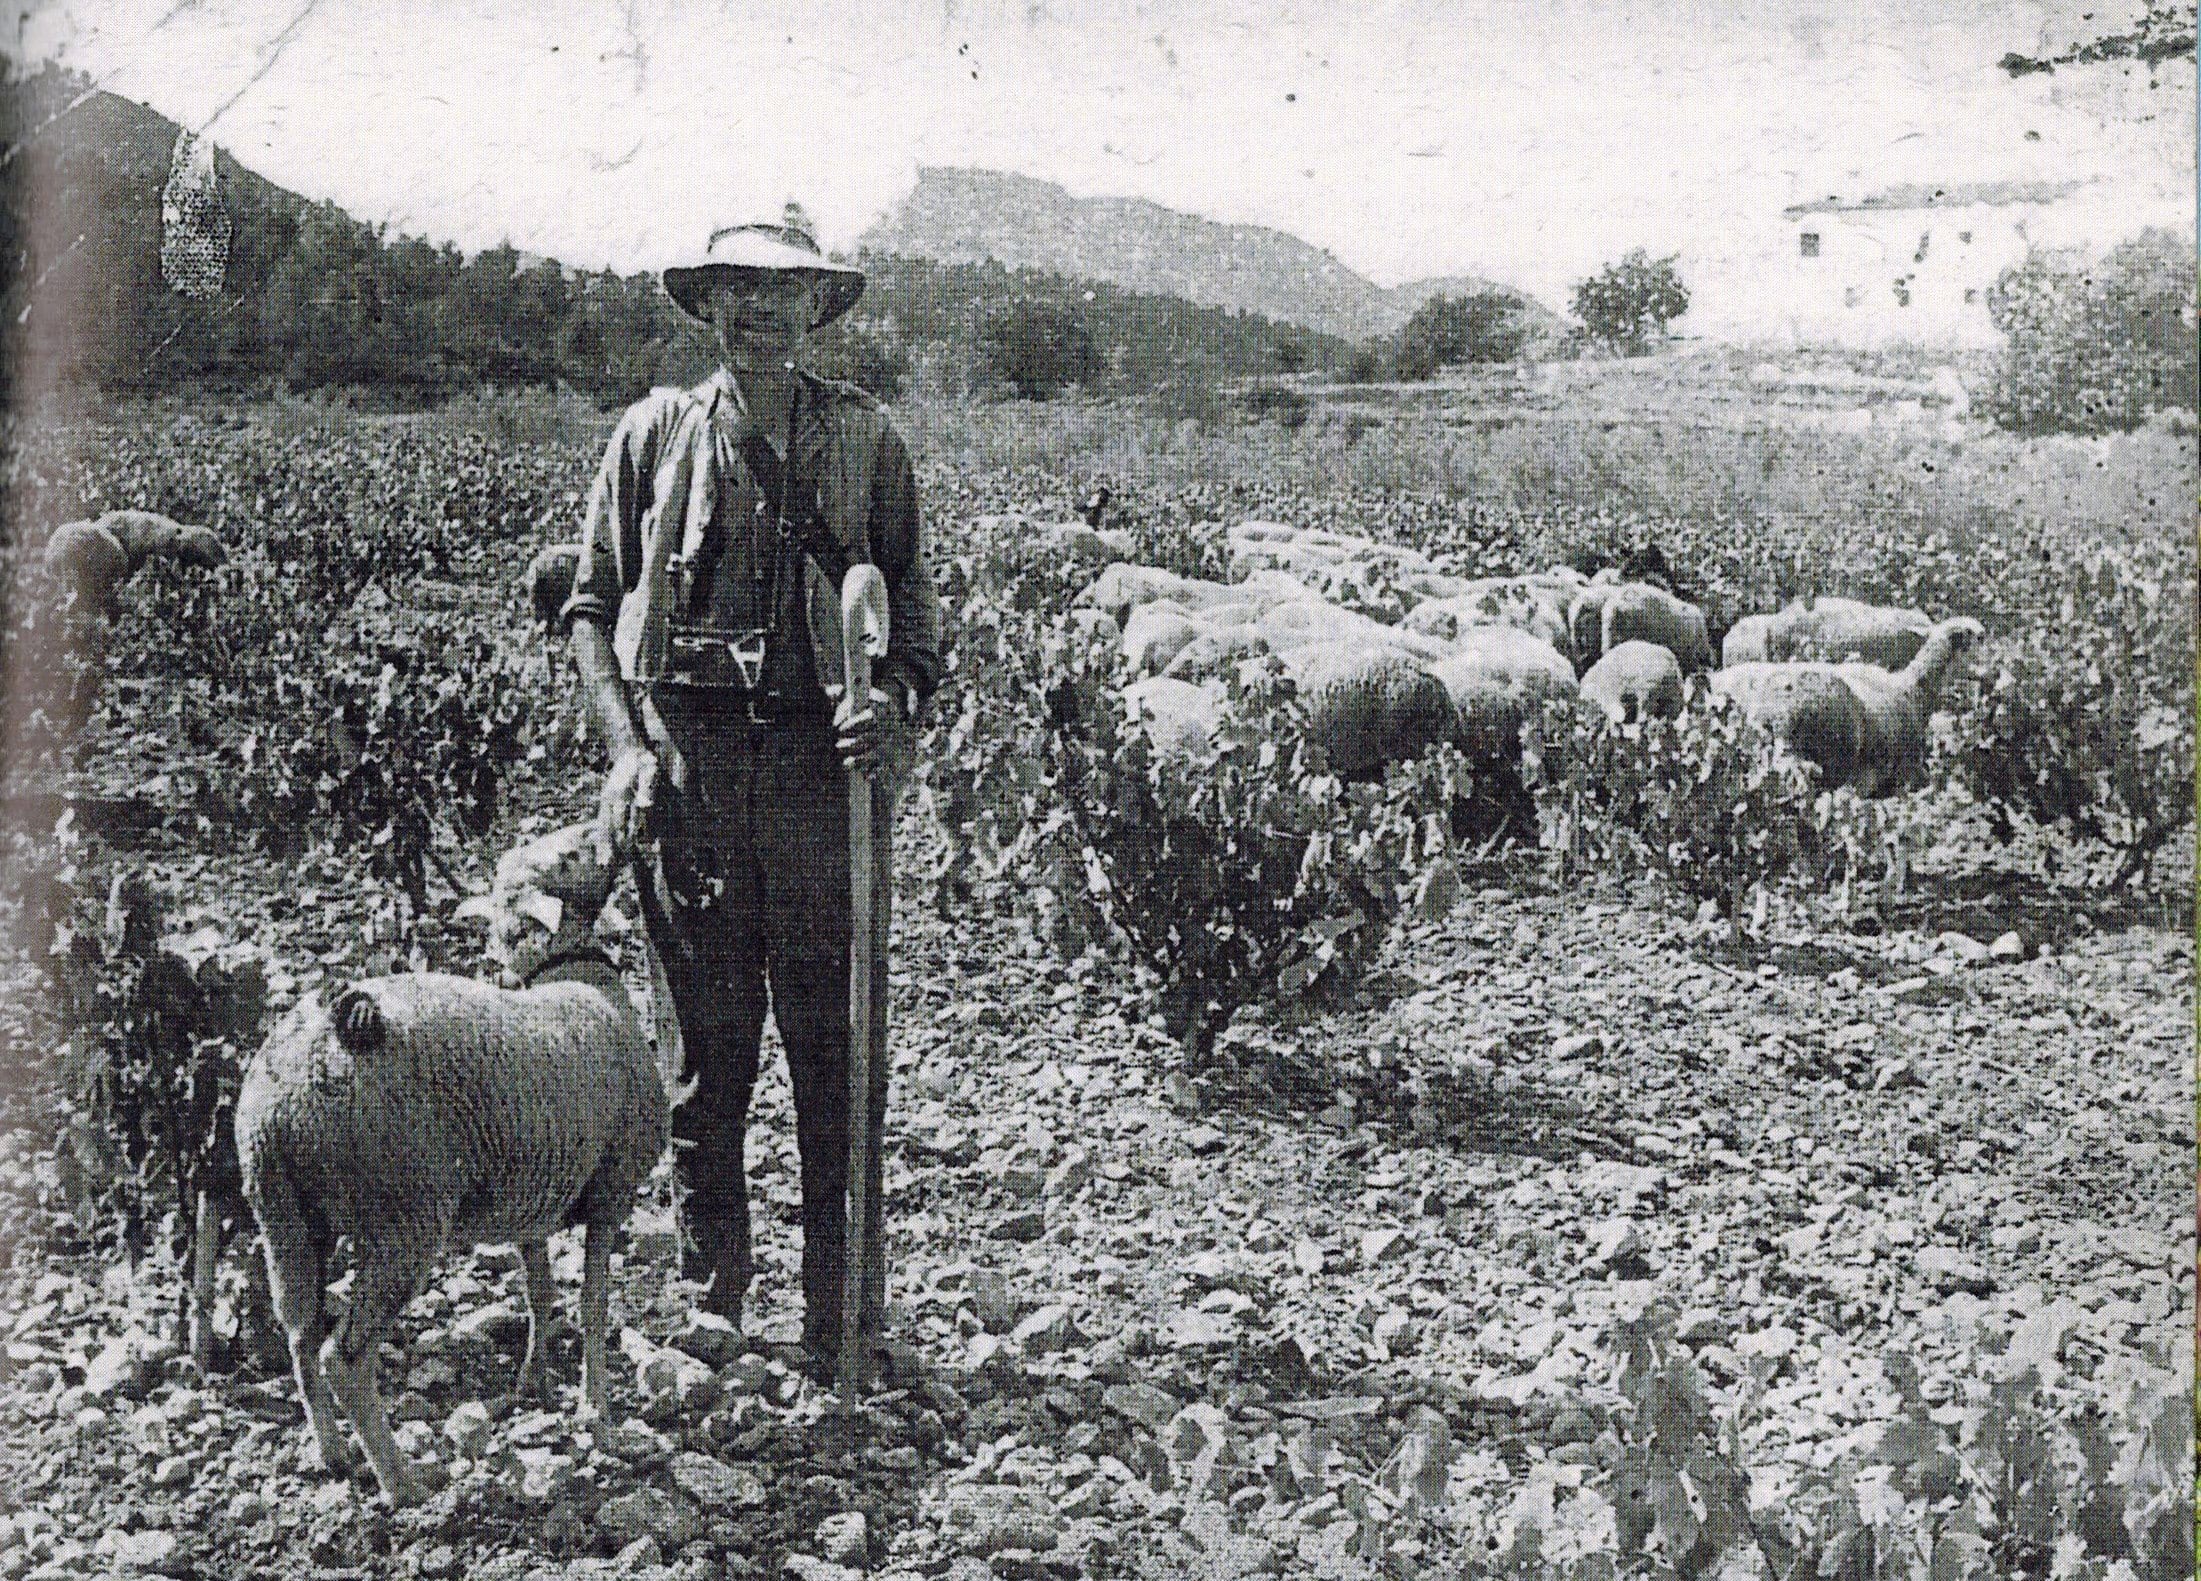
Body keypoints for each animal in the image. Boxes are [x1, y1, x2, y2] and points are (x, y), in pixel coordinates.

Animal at [238, 819, 669, 1514]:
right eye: (571, 855)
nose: (620, 826)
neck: (578, 981)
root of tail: (335, 1032)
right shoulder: (610, 1191)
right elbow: (593, 1305)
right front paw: (598, 1415)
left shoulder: (532, 1198)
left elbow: (541, 1293)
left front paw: (532, 1381)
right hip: (404, 1217)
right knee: (343, 1357)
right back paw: (404, 1482)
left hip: (286, 1216)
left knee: (299, 1333)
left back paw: (333, 1453)